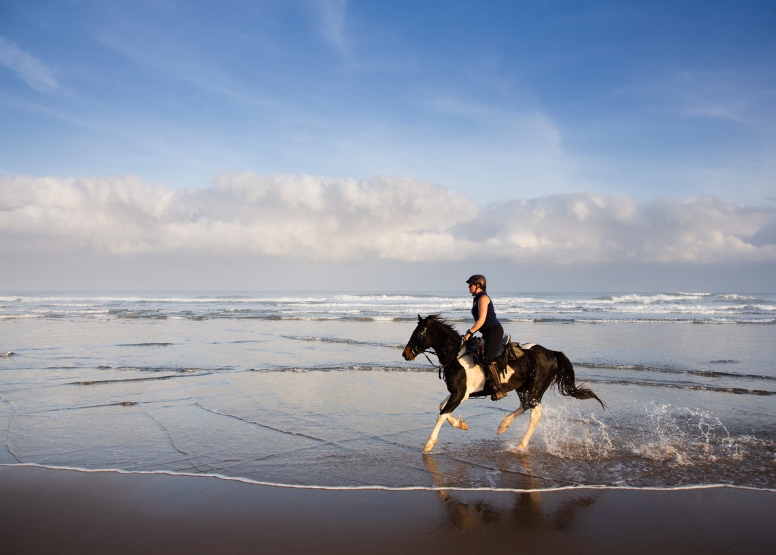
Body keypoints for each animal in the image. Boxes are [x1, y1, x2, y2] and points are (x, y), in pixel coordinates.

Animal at [404, 314, 604, 454]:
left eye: (418, 333)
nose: (405, 354)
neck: (457, 356)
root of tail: (552, 353)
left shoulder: (461, 393)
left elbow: (442, 414)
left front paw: (429, 444)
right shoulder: (459, 393)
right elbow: (442, 407)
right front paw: (461, 424)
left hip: (535, 389)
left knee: (534, 415)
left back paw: (520, 445)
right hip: (523, 388)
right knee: (525, 405)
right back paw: (503, 425)